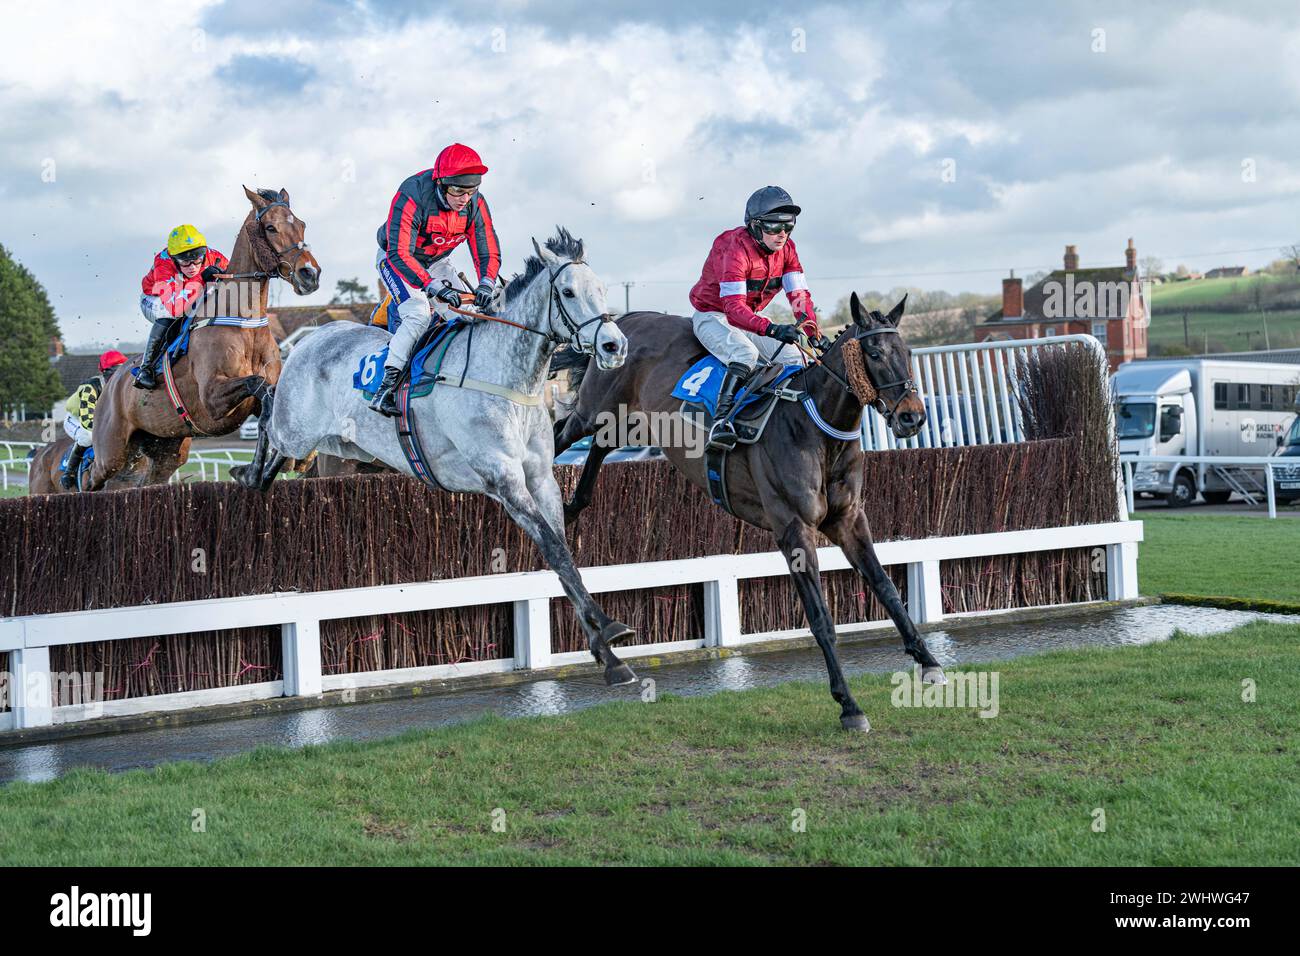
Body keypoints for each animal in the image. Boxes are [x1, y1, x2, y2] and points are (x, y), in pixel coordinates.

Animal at [88, 184, 319, 494]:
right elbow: (258, 385)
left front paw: (285, 464)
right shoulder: (211, 398)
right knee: (89, 477)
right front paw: (251, 473)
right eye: (270, 227)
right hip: (110, 451)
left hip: (164, 449)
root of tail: (110, 384)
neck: (245, 324)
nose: (310, 274)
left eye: (302, 224)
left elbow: (273, 404)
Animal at [260, 227, 639, 686]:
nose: (614, 345)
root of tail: (310, 339)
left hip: (338, 447)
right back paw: (251, 470)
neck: (507, 379)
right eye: (567, 291)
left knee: (295, 459)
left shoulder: (540, 478)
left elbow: (563, 554)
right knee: (268, 421)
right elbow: (553, 547)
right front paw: (609, 632)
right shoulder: (504, 481)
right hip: (296, 431)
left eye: (601, 289)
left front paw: (606, 649)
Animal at [553, 295, 951, 728]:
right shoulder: (794, 528)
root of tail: (629, 319)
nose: (913, 416)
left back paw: (574, 505)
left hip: (631, 422)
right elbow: (821, 617)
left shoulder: (849, 521)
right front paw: (849, 705)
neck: (815, 425)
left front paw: (930, 663)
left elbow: (888, 590)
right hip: (597, 409)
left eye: (907, 352)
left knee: (599, 445)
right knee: (560, 432)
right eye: (875, 353)